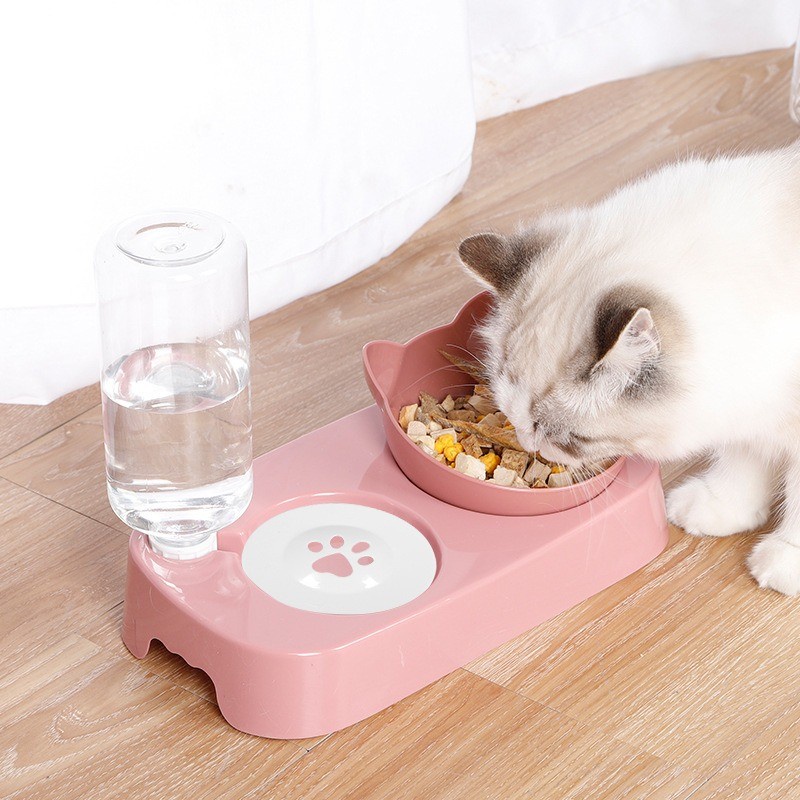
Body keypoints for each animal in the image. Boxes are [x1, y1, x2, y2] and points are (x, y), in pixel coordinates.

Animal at [460, 144, 800, 592]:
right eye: (509, 415)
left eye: (572, 439)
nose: (528, 443)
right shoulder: (745, 405)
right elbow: (741, 466)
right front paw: (716, 510)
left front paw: (784, 565)